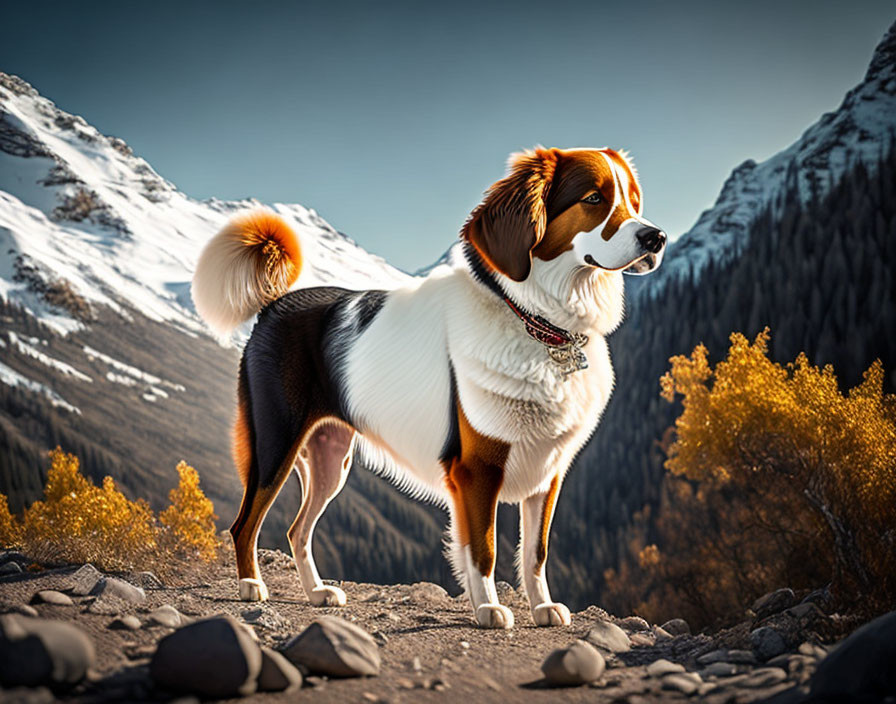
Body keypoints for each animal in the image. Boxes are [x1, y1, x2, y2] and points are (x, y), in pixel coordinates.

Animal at [191, 146, 664, 628]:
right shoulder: (477, 468)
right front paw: (489, 608)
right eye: (594, 198)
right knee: (245, 523)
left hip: (330, 458)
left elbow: (536, 552)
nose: (656, 238)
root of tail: (274, 303)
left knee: (297, 528)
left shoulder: (548, 473)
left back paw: (318, 592)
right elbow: (484, 549)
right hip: (275, 444)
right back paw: (251, 586)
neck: (536, 324)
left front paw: (542, 607)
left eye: (634, 202)